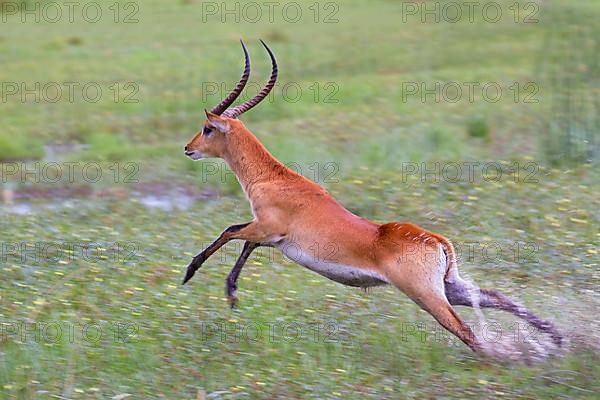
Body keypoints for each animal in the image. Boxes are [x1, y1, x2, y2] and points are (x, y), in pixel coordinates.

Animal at [182, 39, 564, 354]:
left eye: (207, 128)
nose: (188, 148)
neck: (273, 179)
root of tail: (436, 240)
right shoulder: (270, 235)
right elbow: (242, 240)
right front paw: (230, 293)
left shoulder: (267, 227)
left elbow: (231, 232)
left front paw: (191, 274)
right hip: (449, 287)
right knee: (496, 298)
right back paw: (558, 340)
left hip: (426, 295)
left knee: (466, 330)